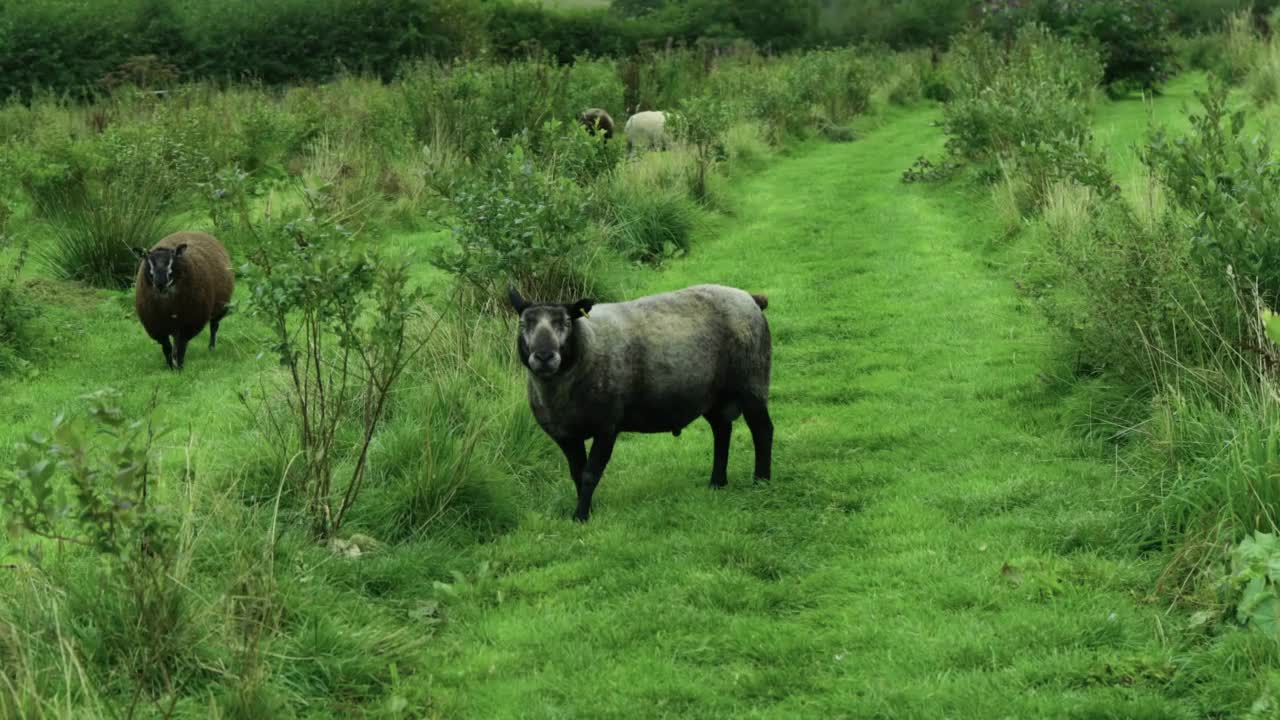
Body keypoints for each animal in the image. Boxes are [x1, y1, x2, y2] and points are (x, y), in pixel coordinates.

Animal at [135, 230, 235, 368]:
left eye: (171, 262)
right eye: (149, 263)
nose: (160, 284)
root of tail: (196, 232)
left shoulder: (189, 323)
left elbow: (181, 346)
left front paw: (179, 367)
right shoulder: (156, 327)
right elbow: (167, 347)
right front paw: (170, 366)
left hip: (220, 307)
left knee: (214, 327)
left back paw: (211, 348)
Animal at [506, 281, 768, 520]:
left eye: (566, 323)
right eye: (523, 324)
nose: (544, 356)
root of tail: (750, 297)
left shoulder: (607, 426)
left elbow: (590, 474)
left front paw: (581, 516)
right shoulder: (566, 435)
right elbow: (577, 474)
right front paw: (586, 510)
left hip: (752, 383)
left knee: (762, 430)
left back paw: (761, 481)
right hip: (713, 395)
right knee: (722, 431)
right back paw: (717, 483)